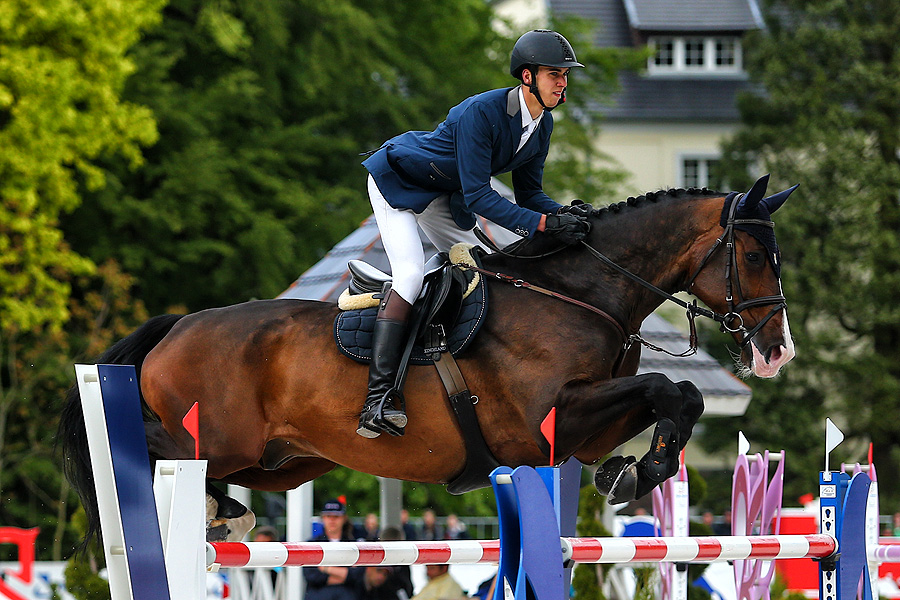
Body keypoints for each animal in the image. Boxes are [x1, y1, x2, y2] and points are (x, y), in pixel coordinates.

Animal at [59, 174, 796, 548]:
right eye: (754, 255)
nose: (775, 352)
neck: (580, 293)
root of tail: (178, 325)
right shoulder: (548, 418)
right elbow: (668, 388)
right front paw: (639, 471)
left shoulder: (580, 433)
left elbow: (676, 395)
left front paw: (630, 472)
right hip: (219, 436)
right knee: (145, 451)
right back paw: (204, 510)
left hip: (282, 461)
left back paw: (226, 513)